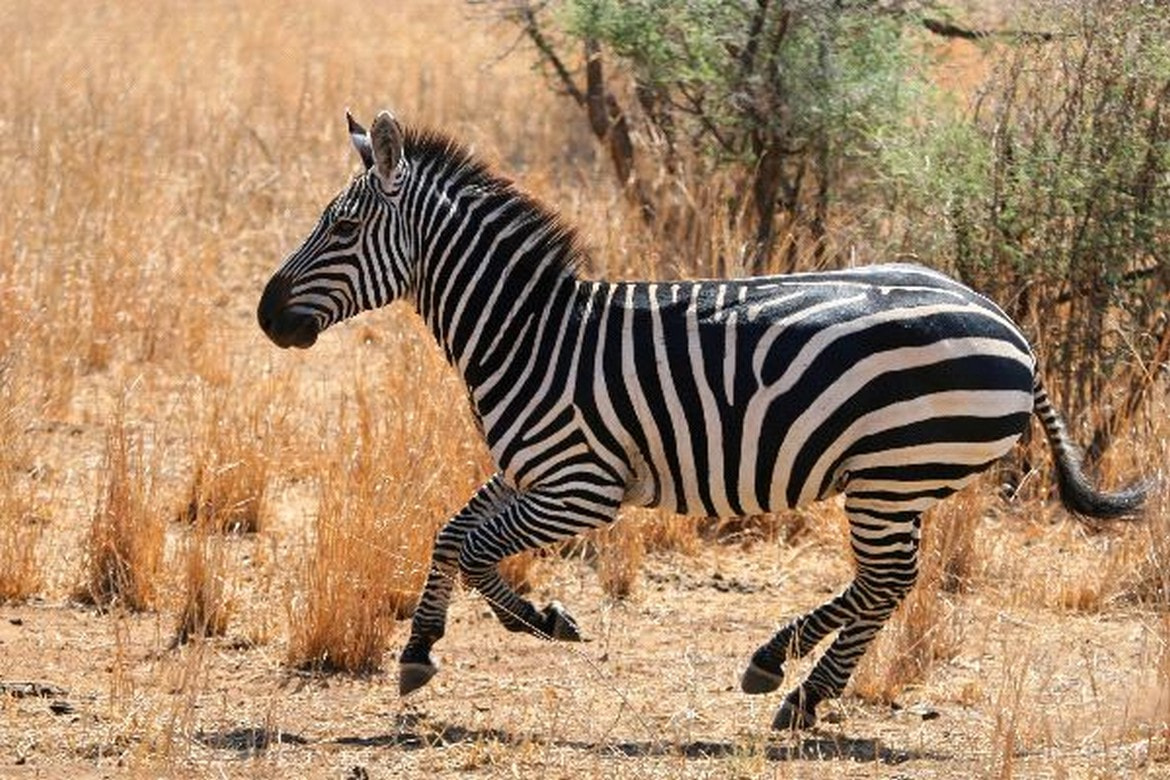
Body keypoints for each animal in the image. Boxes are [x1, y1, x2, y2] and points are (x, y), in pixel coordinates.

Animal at [256, 109, 1141, 734]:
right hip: (897, 480)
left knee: (887, 581)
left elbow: (474, 547)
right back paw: (784, 672)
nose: (266, 316)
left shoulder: (584, 488)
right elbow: (451, 535)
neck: (530, 332)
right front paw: (447, 642)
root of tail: (1009, 325)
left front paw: (520, 625)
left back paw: (793, 686)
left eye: (342, 227)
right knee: (881, 583)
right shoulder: (530, 472)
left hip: (892, 473)